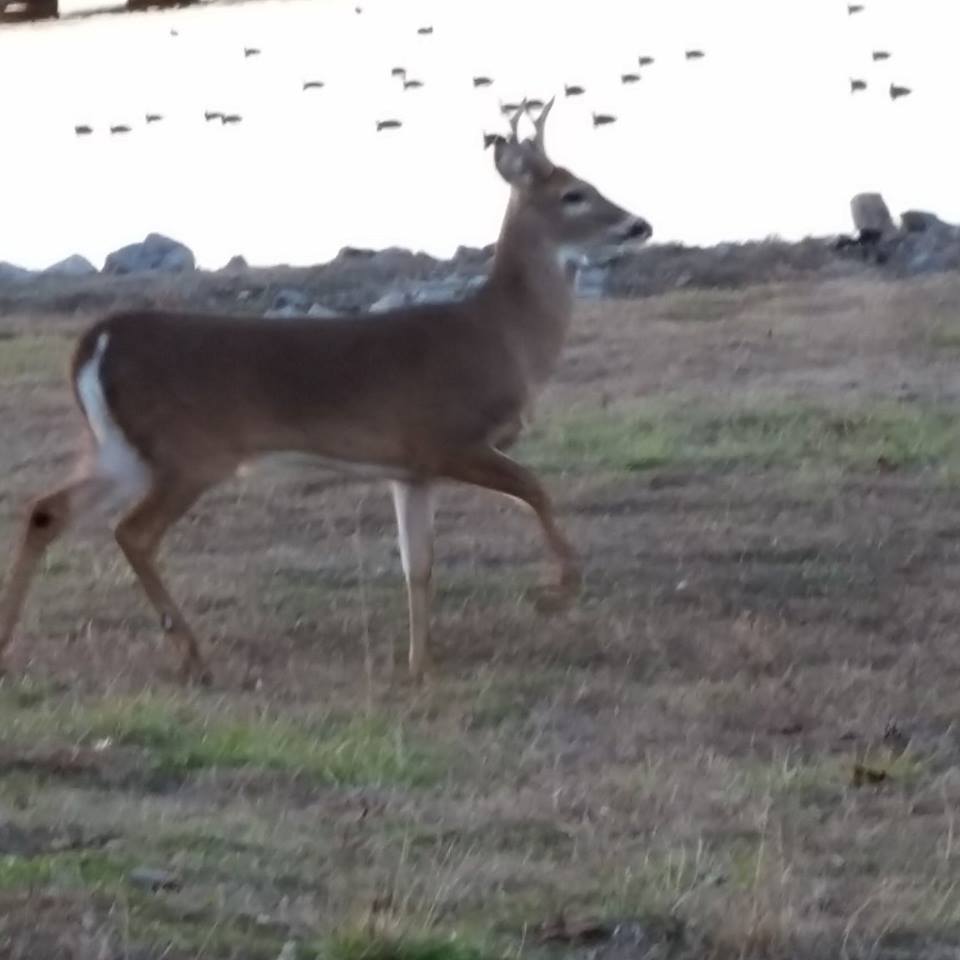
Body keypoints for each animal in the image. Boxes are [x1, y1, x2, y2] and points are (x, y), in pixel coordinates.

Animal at [0, 99, 652, 684]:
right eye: (576, 194)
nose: (640, 225)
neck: (501, 335)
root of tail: (97, 340)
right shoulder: (448, 438)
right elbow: (536, 489)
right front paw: (557, 592)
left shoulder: (410, 469)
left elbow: (419, 565)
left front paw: (419, 664)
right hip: (189, 452)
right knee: (132, 532)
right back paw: (194, 656)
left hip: (122, 449)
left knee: (46, 510)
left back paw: (10, 644)